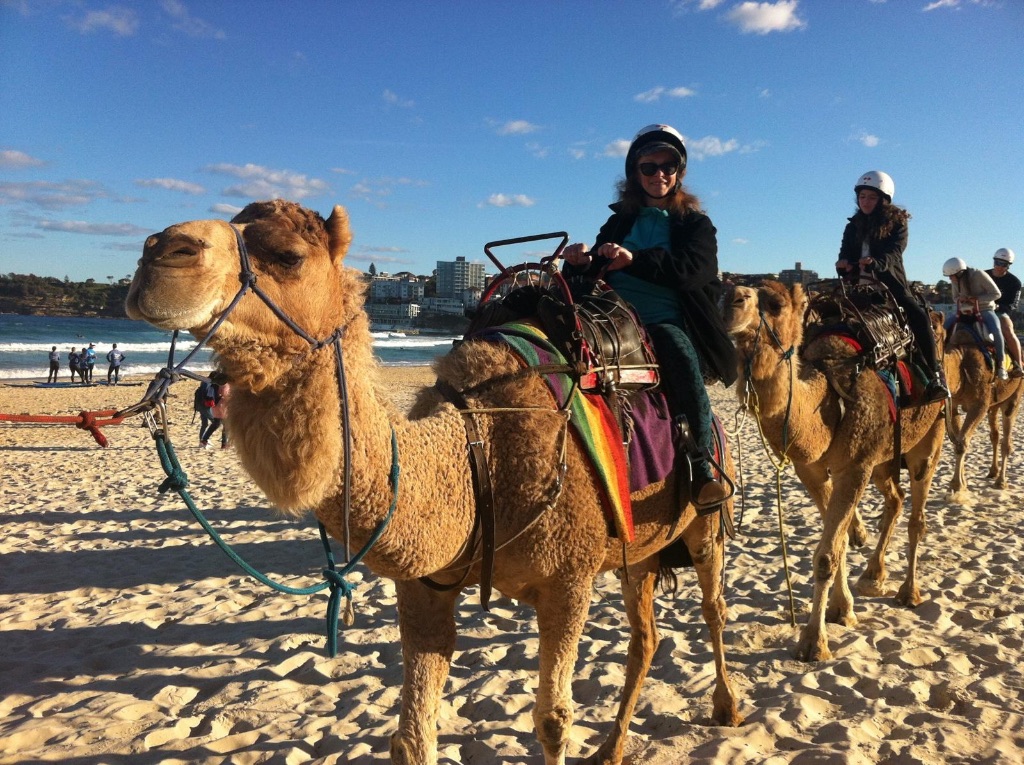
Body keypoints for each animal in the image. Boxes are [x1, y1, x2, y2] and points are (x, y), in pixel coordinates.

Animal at [125, 200, 742, 765]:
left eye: (288, 255)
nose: (159, 250)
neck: (477, 448)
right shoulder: (423, 583)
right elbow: (410, 737)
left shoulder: (570, 579)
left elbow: (552, 720)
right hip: (641, 546)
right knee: (646, 635)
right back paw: (613, 747)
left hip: (705, 520)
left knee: (713, 605)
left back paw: (727, 706)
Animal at [723, 280, 946, 662]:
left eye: (776, 304)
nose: (732, 301)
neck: (830, 402)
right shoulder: (812, 470)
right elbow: (838, 543)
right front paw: (842, 609)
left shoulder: (855, 467)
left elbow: (828, 554)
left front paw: (814, 642)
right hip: (883, 458)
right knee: (896, 498)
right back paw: (873, 575)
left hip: (929, 434)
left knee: (918, 513)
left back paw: (909, 592)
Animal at [944, 342, 1023, 499]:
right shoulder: (954, 403)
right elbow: (958, 441)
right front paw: (961, 483)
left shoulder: (980, 404)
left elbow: (962, 443)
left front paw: (957, 485)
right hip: (994, 405)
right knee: (995, 435)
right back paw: (993, 471)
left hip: (1015, 395)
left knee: (1006, 439)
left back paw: (1001, 482)